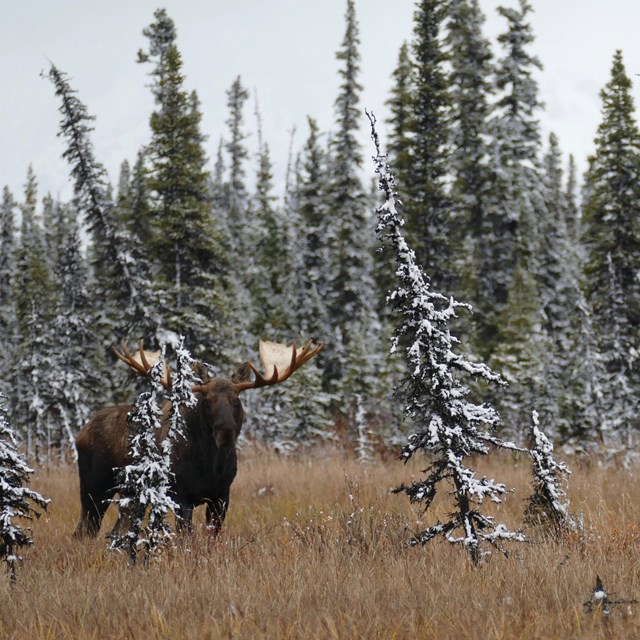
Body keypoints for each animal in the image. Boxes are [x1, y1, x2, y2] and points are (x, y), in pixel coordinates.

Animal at [74, 338, 322, 536]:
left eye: (236, 399)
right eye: (207, 401)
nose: (225, 431)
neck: (211, 467)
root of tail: (81, 432)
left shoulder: (221, 496)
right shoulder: (180, 496)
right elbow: (187, 539)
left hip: (131, 494)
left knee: (118, 529)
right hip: (94, 485)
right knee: (85, 530)